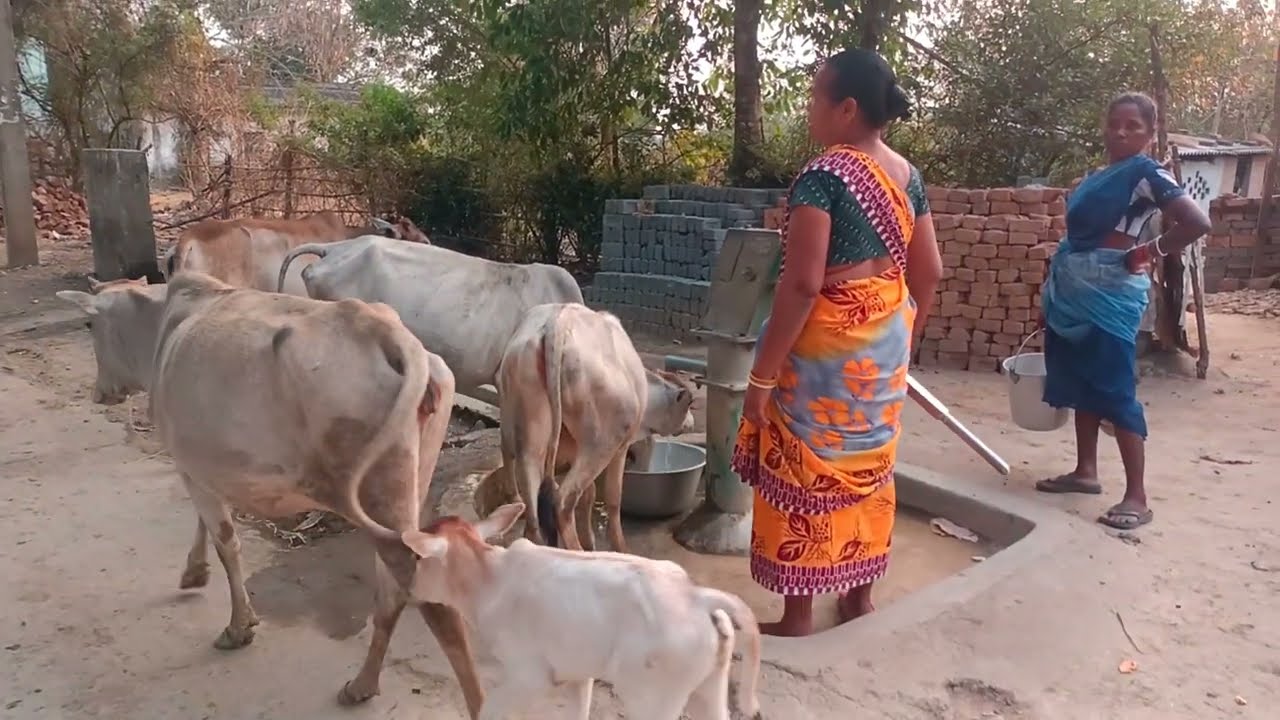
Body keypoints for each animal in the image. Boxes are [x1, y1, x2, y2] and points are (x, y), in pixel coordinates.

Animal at [54, 273, 485, 716]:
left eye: (89, 325)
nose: (97, 393)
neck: (160, 329)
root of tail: (384, 331)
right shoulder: (206, 469)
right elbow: (205, 528)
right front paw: (194, 572)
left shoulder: (190, 466)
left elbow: (226, 542)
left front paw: (238, 626)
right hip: (406, 492)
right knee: (392, 590)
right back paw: (362, 685)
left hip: (382, 497)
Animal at [400, 502, 763, 720]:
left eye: (418, 557)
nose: (410, 588)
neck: (487, 577)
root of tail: (696, 595)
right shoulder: (578, 671)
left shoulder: (528, 674)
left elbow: (491, 709)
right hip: (710, 685)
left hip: (652, 696)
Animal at [497, 303, 696, 553]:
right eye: (689, 404)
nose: (691, 422)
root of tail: (559, 319)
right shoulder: (620, 448)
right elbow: (613, 498)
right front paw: (619, 547)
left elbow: (590, 493)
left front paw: (590, 540)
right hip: (603, 443)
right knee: (563, 501)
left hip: (529, 436)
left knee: (530, 495)